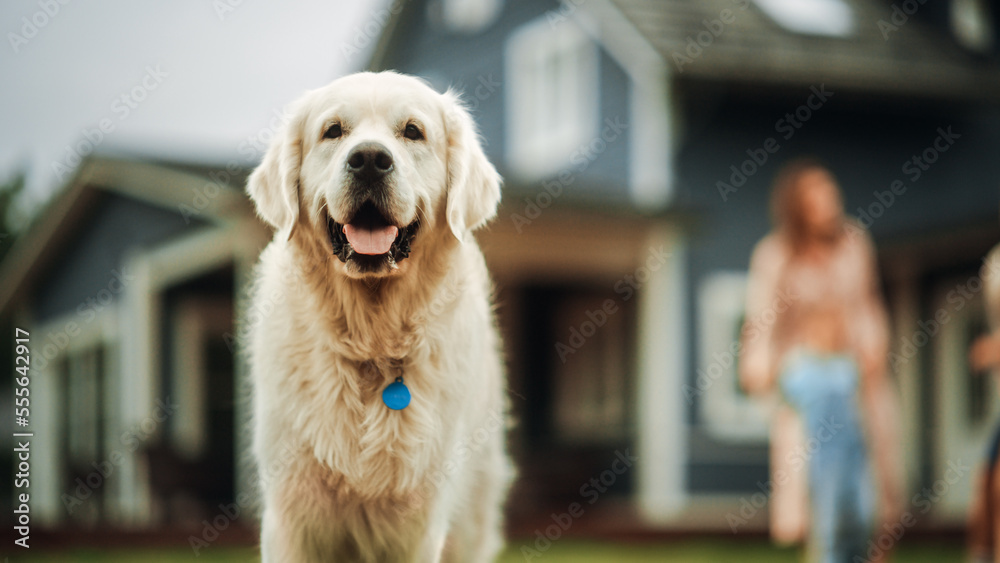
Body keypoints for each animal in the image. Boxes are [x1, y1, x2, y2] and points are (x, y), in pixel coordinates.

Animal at [246, 72, 516, 560]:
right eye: (333, 131)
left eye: (412, 131)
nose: (370, 160)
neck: (370, 343)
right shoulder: (290, 518)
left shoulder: (420, 526)